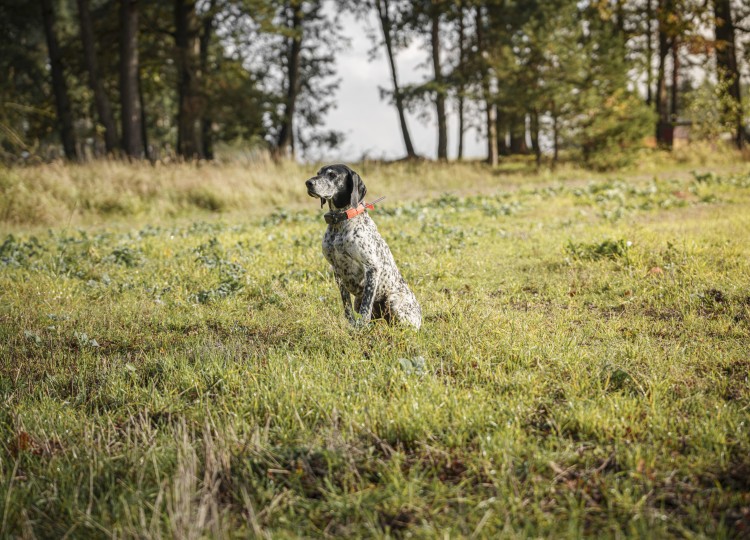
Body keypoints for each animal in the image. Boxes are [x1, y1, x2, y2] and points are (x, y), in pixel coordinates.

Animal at [306, 163, 424, 330]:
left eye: (332, 175)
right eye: (318, 173)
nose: (308, 183)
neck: (339, 224)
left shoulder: (372, 268)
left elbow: (366, 308)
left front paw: (361, 329)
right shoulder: (338, 272)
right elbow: (347, 308)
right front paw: (351, 327)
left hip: (394, 301)